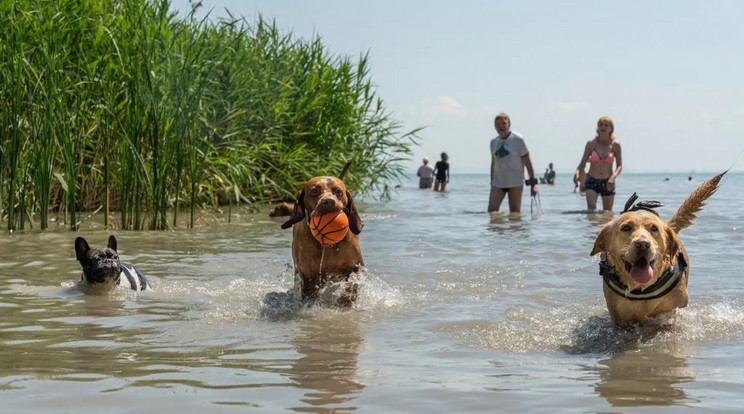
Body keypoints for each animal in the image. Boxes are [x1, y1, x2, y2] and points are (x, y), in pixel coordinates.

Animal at [282, 173, 364, 306]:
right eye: (314, 191)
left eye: (338, 191)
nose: (328, 201)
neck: (326, 244)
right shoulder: (308, 276)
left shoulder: (355, 269)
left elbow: (349, 289)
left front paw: (344, 303)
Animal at [588, 171, 724, 326]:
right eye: (626, 227)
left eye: (654, 228)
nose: (643, 244)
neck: (641, 289)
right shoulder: (619, 319)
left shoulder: (672, 312)